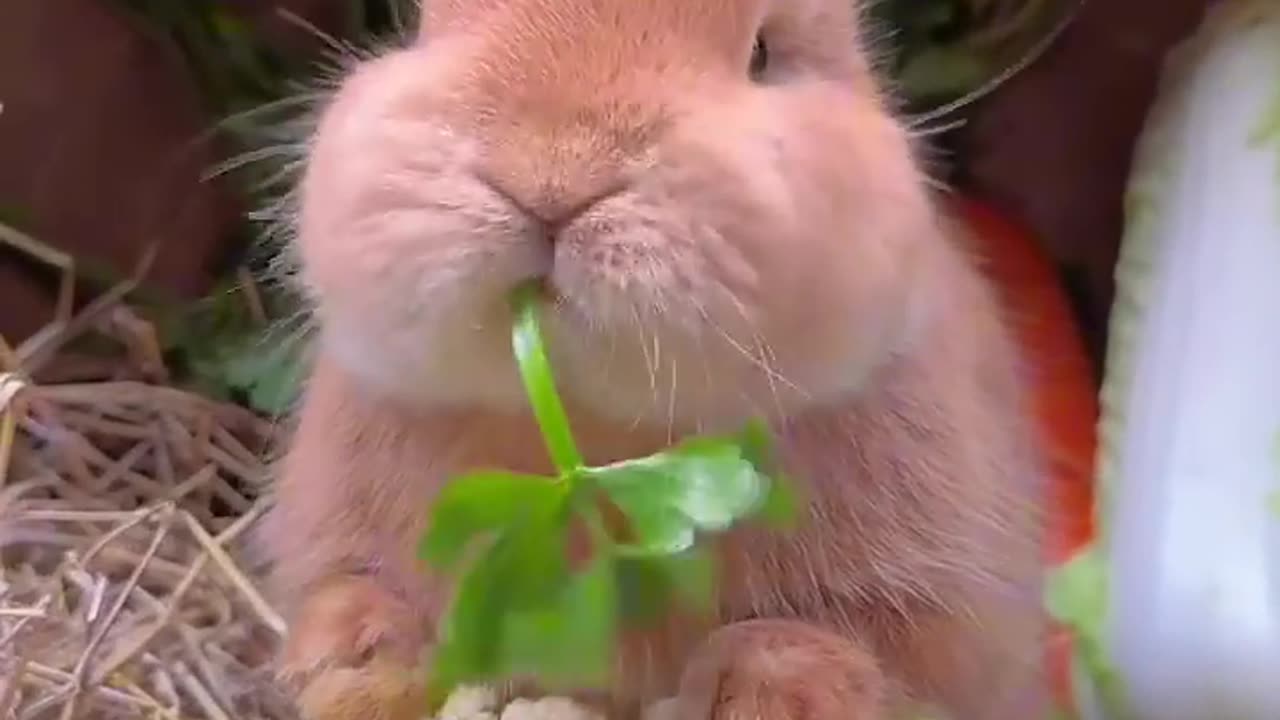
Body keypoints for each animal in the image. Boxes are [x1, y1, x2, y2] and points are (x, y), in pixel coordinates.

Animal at [259, 1, 1049, 717]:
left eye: (764, 52)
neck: (591, 440)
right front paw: (355, 662)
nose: (550, 178)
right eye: (418, 27)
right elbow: (353, 600)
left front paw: (758, 690)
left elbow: (849, 658)